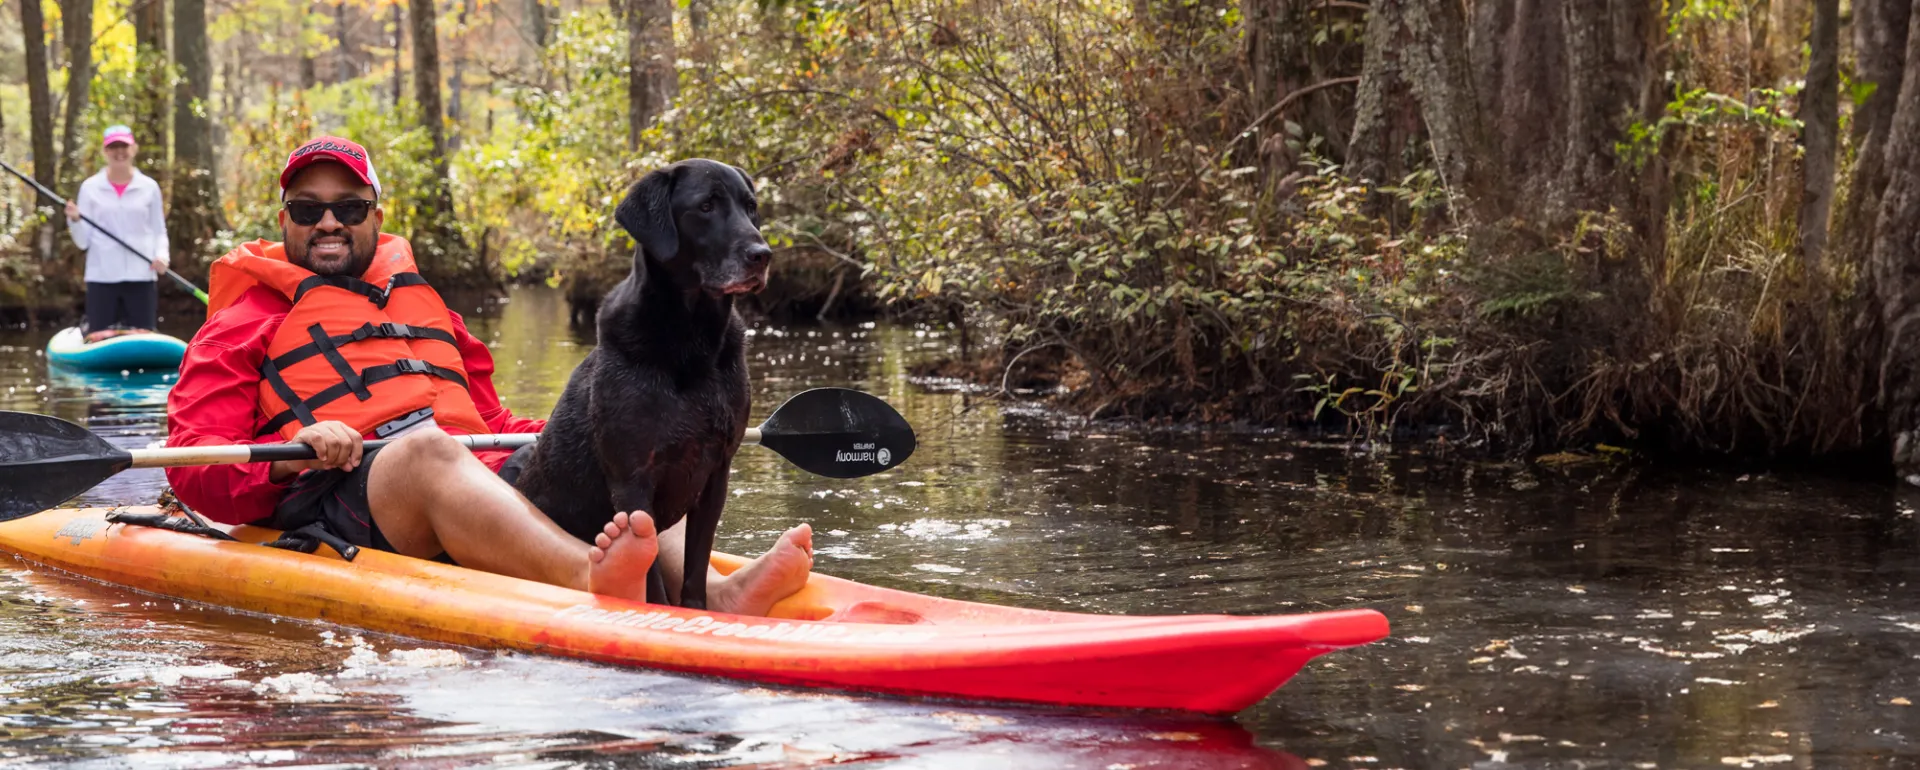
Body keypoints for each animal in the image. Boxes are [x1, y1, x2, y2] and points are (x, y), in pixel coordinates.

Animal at [518, 159, 779, 610]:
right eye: (706, 205)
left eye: (751, 207)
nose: (761, 255)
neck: (690, 346)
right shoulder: (633, 482)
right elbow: (651, 580)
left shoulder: (717, 473)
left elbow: (696, 567)